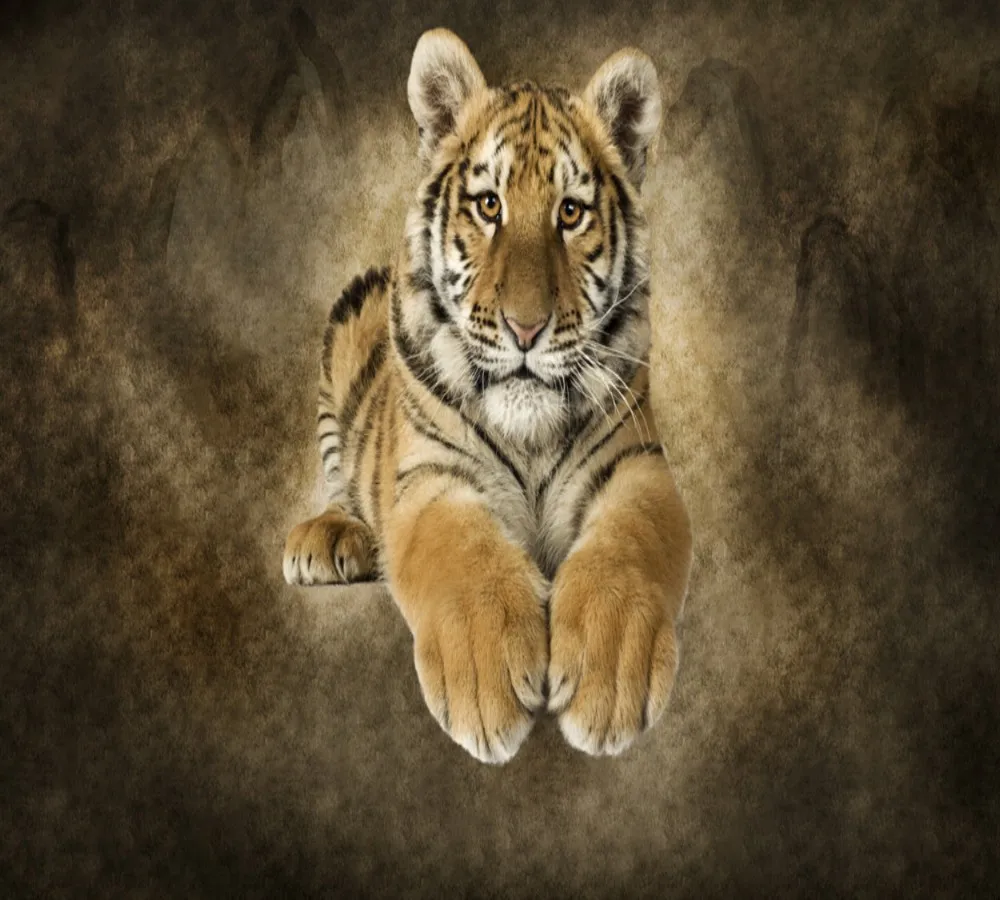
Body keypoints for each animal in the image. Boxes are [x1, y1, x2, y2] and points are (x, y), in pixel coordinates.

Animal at [283, 29, 693, 764]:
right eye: (489, 205)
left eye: (570, 212)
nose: (524, 328)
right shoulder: (432, 479)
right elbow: (463, 555)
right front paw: (488, 678)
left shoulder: (638, 466)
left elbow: (627, 546)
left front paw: (610, 673)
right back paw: (327, 539)